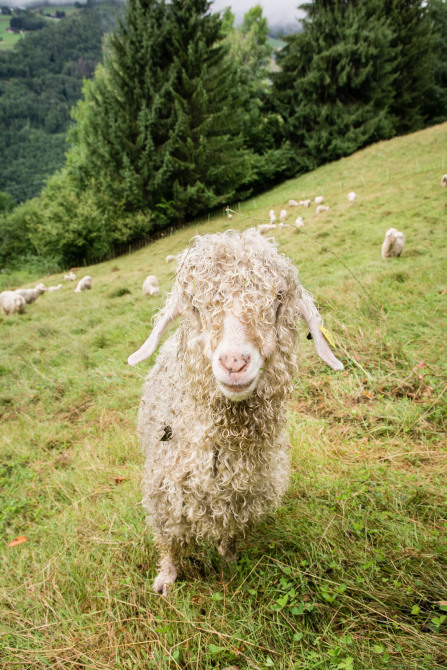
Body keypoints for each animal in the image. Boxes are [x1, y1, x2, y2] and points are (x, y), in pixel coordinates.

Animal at [128, 232, 344, 600]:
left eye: (278, 299)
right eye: (195, 304)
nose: (234, 363)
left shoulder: (243, 498)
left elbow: (230, 532)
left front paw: (229, 559)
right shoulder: (164, 497)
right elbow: (169, 542)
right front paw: (166, 579)